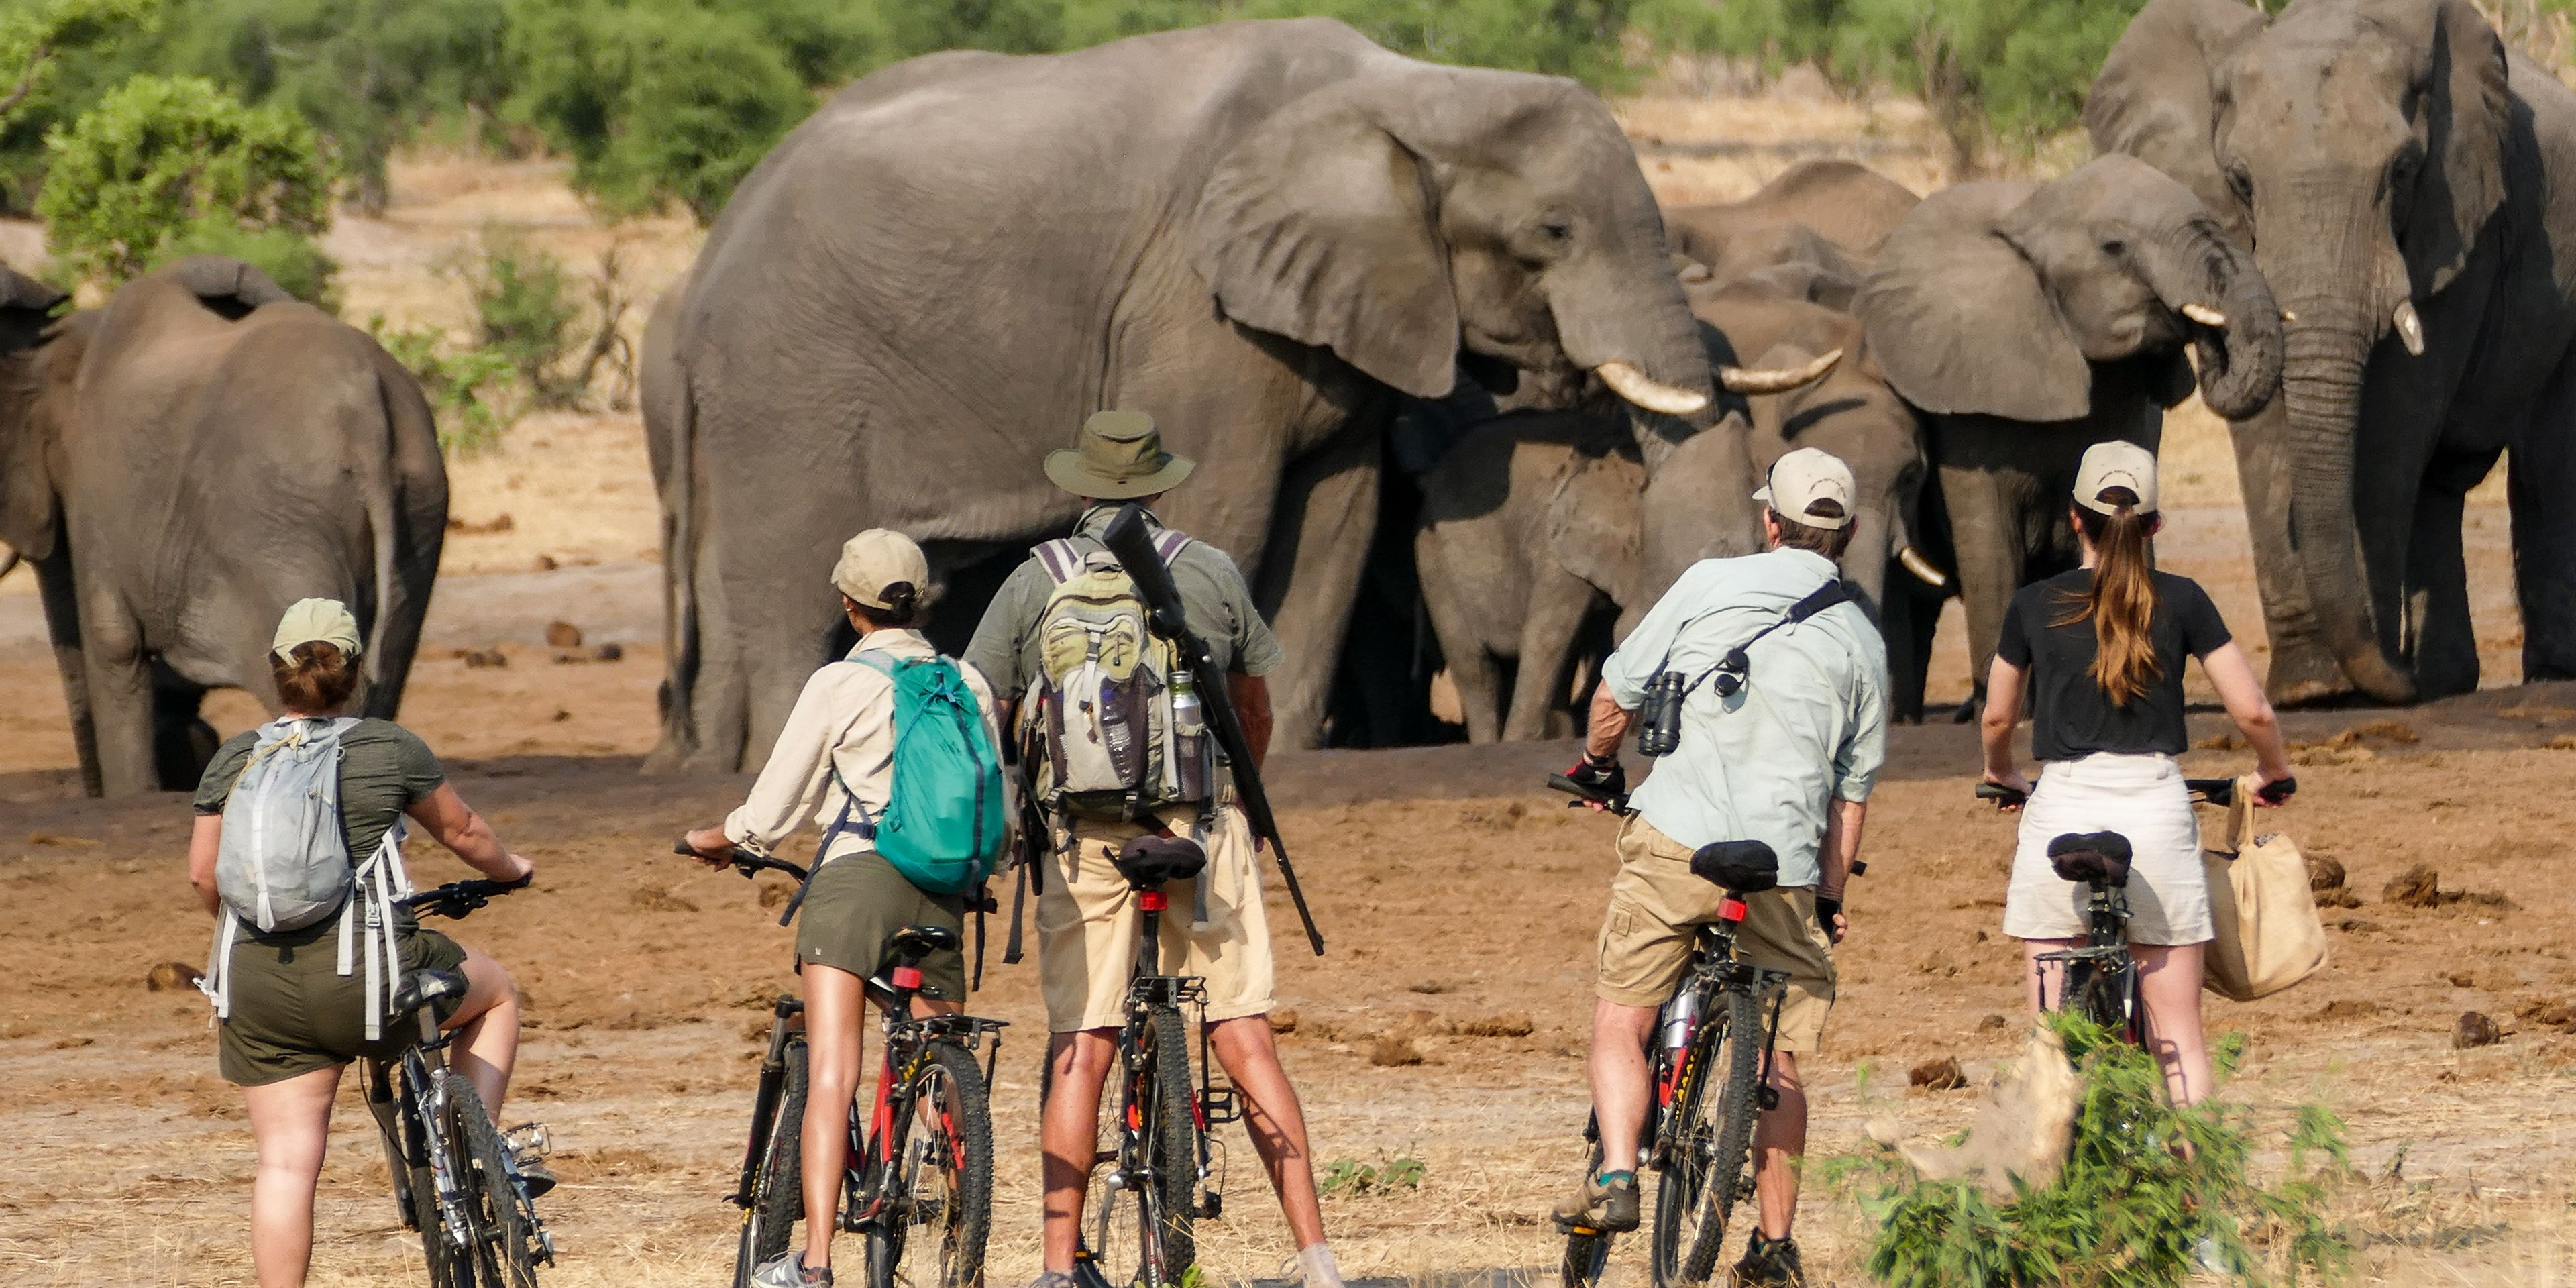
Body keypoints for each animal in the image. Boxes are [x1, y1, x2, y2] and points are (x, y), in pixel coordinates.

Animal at [647, 18, 1794, 771]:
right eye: (1553, 233)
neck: (1418, 90)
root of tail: (703, 273)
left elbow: (1336, 525)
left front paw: (1281, 749)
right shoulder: (1195, 308)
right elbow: (1227, 508)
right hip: (788, 383)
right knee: (790, 586)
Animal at [1854, 154, 2286, 712]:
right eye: (2115, 247)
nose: (2206, 331)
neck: (2029, 210)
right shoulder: (1970, 391)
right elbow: (1988, 539)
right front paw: (2006, 710)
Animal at [2088, 0, 2576, 702]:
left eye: (2402, 171)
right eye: (2238, 181)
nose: (2199, 343)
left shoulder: (2456, 223)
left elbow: (2397, 420)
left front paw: (2361, 679)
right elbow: (2271, 436)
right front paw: (2312, 690)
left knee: (2546, 459)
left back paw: (2539, 674)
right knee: (2441, 487)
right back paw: (2442, 678)